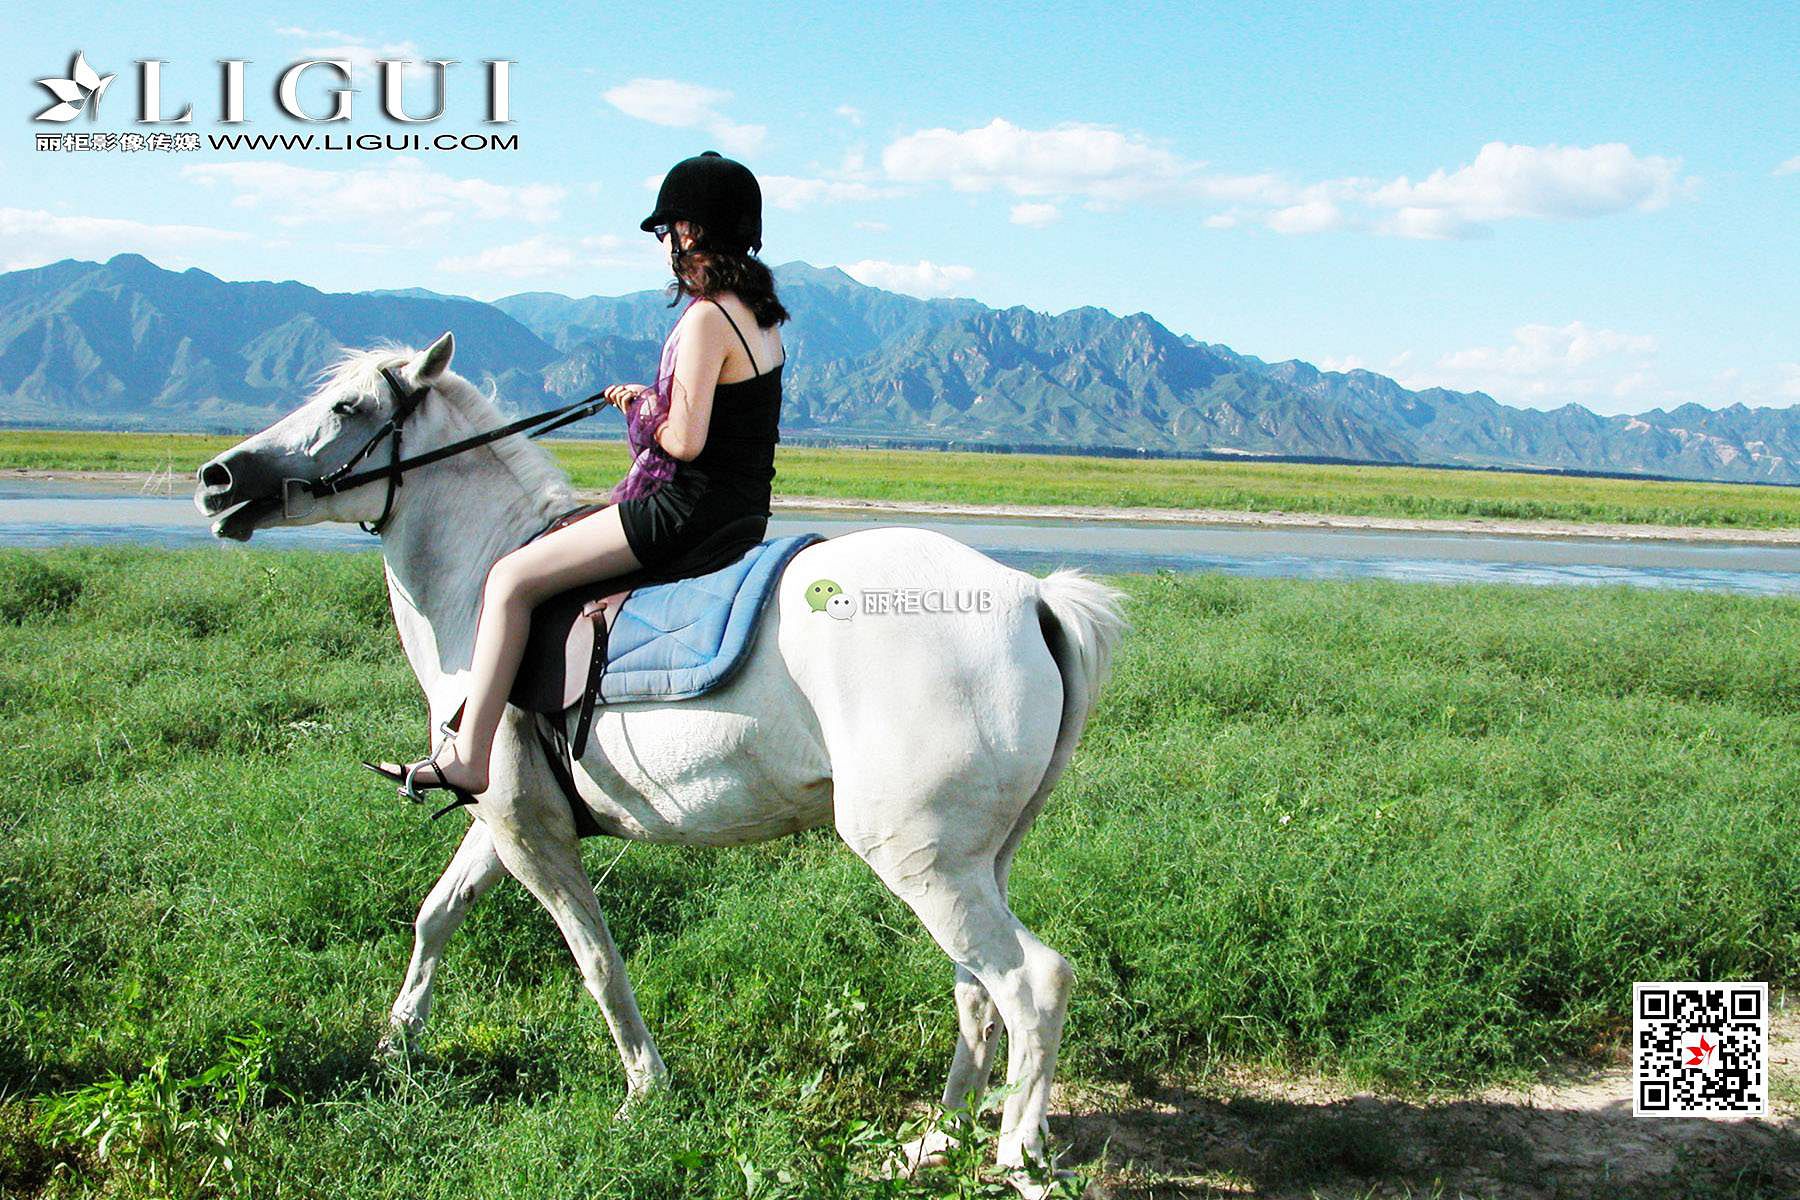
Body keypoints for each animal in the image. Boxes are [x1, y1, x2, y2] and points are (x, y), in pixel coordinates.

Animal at [193, 333, 1129, 1192]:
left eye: (348, 408)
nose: (217, 480)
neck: (483, 585)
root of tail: (1030, 596)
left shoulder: (532, 839)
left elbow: (597, 961)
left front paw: (645, 1091)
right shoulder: (502, 819)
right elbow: (436, 917)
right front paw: (396, 1046)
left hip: (921, 860)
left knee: (1033, 984)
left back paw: (1015, 1158)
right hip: (971, 862)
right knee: (977, 992)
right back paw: (936, 1140)